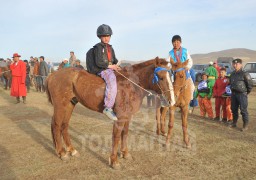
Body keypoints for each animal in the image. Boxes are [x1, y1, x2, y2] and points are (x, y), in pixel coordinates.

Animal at [45, 57, 174, 169]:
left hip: (70, 105)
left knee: (64, 125)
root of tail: (52, 75)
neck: (131, 84)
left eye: (171, 75)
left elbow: (125, 133)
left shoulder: (127, 116)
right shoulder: (120, 117)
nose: (171, 101)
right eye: (161, 77)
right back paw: (62, 153)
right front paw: (114, 161)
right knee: (56, 125)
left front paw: (125, 153)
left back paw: (72, 150)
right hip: (61, 106)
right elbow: (116, 136)